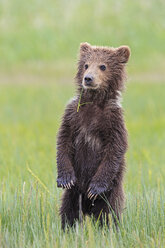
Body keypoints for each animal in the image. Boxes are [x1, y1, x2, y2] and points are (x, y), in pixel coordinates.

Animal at [56, 41, 130, 230]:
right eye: (86, 65)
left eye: (103, 66)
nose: (88, 78)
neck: (94, 102)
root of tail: (88, 209)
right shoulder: (73, 115)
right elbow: (63, 141)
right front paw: (65, 178)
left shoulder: (113, 120)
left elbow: (115, 149)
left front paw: (95, 187)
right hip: (74, 194)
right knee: (69, 211)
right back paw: (67, 229)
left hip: (111, 192)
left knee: (108, 213)